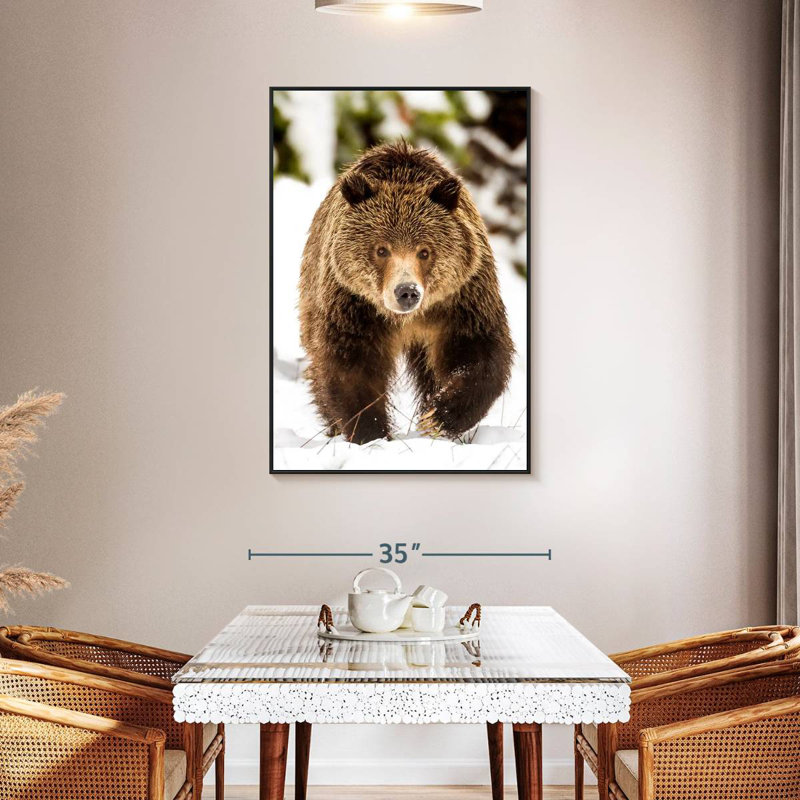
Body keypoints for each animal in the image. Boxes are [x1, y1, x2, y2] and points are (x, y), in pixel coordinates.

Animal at [298, 141, 514, 446]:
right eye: (381, 249)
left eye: (424, 251)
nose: (407, 292)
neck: (406, 319)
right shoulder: (353, 307)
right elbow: (351, 368)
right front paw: (371, 433)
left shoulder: (461, 300)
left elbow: (478, 354)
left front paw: (438, 417)